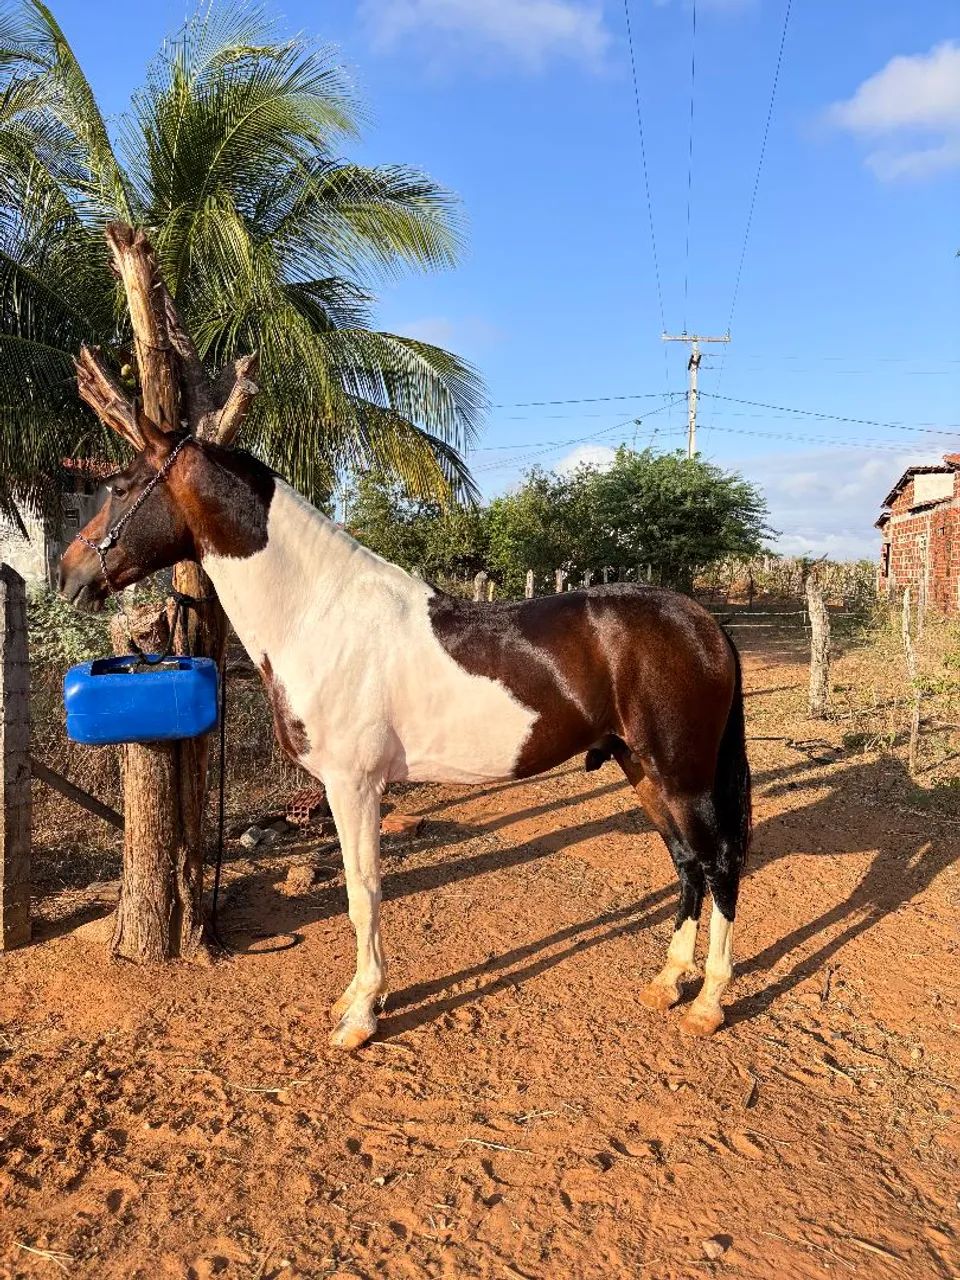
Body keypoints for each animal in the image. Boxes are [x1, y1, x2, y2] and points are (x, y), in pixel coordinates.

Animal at [59, 414, 752, 1050]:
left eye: (119, 486)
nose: (68, 575)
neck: (319, 615)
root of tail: (704, 624)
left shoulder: (354, 786)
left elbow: (362, 892)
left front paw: (361, 1015)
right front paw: (357, 997)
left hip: (680, 775)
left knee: (719, 864)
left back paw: (707, 1003)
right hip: (644, 771)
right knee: (687, 864)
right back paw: (667, 982)